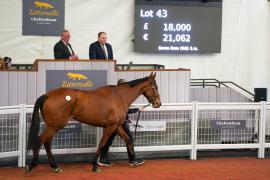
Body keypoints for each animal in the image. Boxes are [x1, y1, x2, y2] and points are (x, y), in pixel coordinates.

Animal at [25, 71, 160, 173]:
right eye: (155, 87)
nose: (158, 103)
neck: (119, 96)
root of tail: (47, 95)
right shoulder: (111, 127)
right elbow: (102, 144)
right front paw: (94, 164)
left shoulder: (116, 126)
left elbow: (128, 139)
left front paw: (134, 161)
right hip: (54, 126)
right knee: (40, 141)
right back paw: (33, 165)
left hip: (52, 126)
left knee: (47, 143)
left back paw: (55, 166)